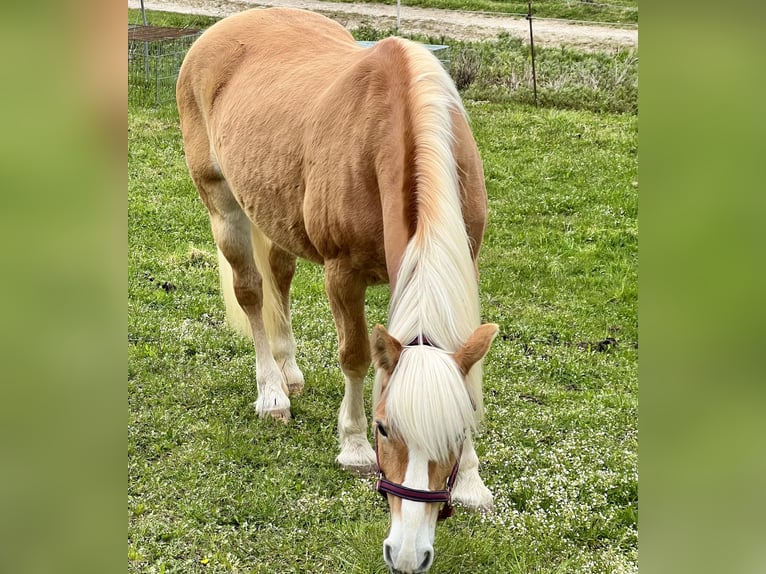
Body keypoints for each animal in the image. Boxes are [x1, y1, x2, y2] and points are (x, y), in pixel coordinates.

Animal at [176, 9, 498, 574]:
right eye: (384, 428)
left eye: (458, 434)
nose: (408, 555)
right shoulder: (342, 273)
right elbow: (354, 356)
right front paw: (352, 447)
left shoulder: (468, 262)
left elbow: (469, 375)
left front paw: (473, 483)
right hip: (222, 203)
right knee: (253, 293)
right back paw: (272, 391)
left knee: (279, 274)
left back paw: (289, 370)